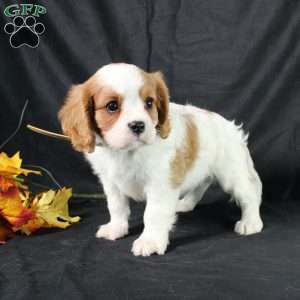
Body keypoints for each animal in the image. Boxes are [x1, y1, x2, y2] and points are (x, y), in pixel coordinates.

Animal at [58, 62, 262, 256]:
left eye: (149, 103)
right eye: (112, 106)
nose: (138, 125)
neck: (127, 152)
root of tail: (231, 127)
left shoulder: (161, 184)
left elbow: (153, 214)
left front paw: (150, 241)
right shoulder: (111, 183)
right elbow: (116, 206)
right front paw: (116, 228)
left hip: (233, 173)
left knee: (250, 194)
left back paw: (251, 222)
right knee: (200, 184)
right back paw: (186, 204)